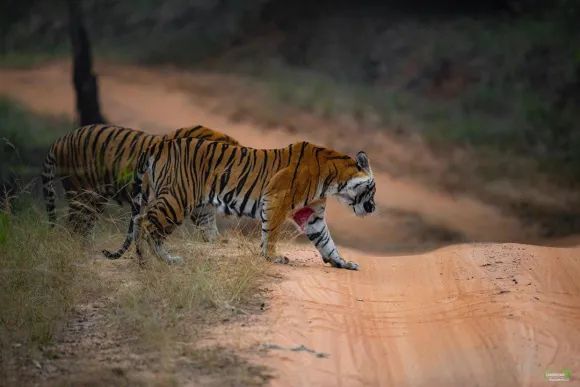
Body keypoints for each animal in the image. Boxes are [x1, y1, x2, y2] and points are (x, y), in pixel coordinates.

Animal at [41, 123, 238, 242]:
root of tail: (61, 139)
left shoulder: (201, 207)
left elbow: (209, 226)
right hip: (82, 195)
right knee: (74, 226)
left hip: (95, 199)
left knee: (83, 227)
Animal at [103, 139, 376, 270]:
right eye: (372, 189)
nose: (373, 208)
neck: (335, 180)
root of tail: (159, 143)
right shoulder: (276, 200)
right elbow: (271, 233)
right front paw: (272, 257)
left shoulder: (311, 214)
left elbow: (326, 241)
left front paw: (342, 262)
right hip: (177, 198)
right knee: (145, 222)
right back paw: (151, 262)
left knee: (144, 222)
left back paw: (159, 260)